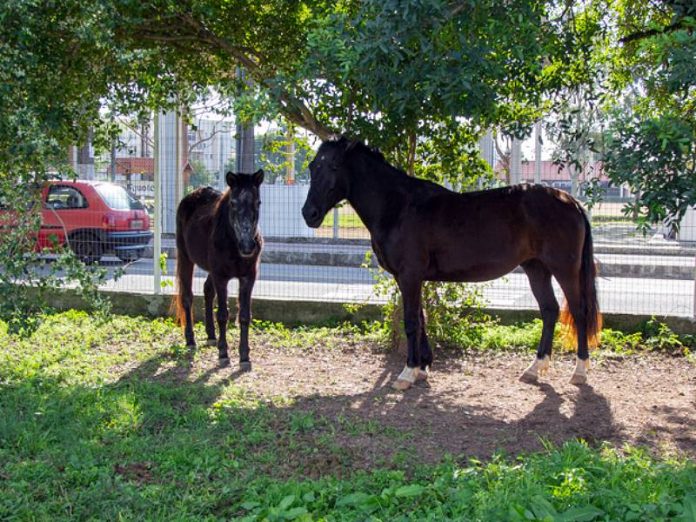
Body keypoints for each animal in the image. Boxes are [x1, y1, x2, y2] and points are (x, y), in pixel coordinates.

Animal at [174, 169, 264, 368]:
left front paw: (244, 357)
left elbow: (244, 315)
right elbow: (223, 314)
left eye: (258, 202)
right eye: (233, 203)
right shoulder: (221, 276)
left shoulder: (248, 277)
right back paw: (190, 340)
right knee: (187, 297)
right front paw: (223, 354)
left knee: (207, 290)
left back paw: (211, 336)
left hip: (211, 270)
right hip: (185, 257)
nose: (248, 246)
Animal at [302, 136, 600, 388]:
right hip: (536, 268)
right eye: (312, 166)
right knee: (549, 311)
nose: (309, 213)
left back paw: (580, 371)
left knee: (579, 311)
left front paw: (407, 373)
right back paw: (534, 368)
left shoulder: (409, 276)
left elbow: (411, 321)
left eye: (334, 166)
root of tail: (569, 200)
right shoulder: (410, 278)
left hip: (564, 269)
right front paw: (422, 368)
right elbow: (421, 319)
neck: (398, 207)